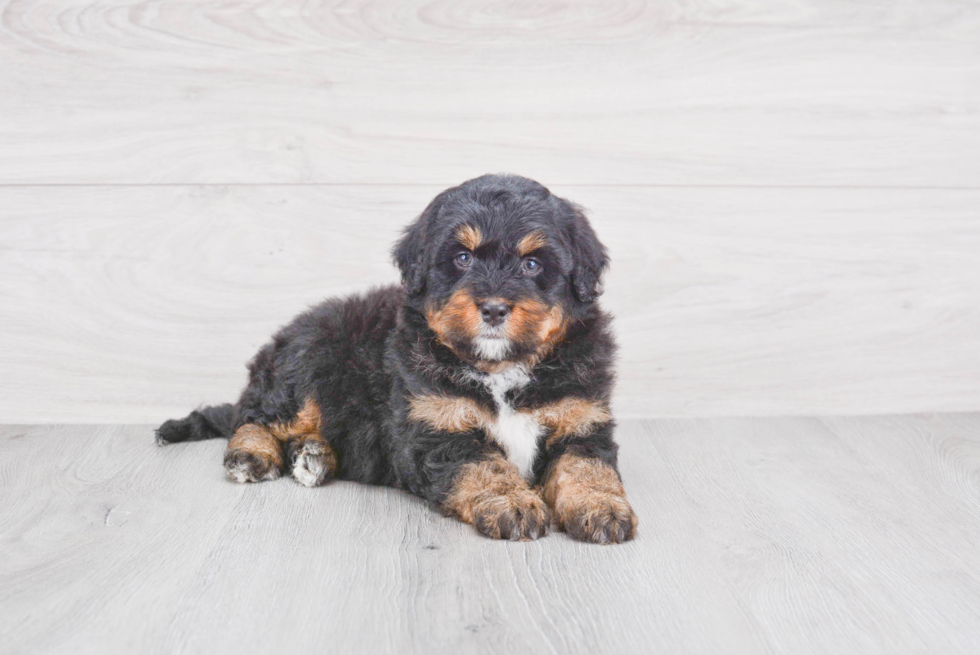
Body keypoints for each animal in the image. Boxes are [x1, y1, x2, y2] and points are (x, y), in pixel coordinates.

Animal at [155, 173, 636, 544]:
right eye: (462, 258)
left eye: (532, 265)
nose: (494, 308)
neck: (499, 368)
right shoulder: (436, 429)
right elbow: (484, 466)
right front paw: (513, 503)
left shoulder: (581, 416)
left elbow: (587, 465)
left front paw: (602, 508)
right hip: (309, 365)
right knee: (254, 417)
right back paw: (252, 454)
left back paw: (313, 456)